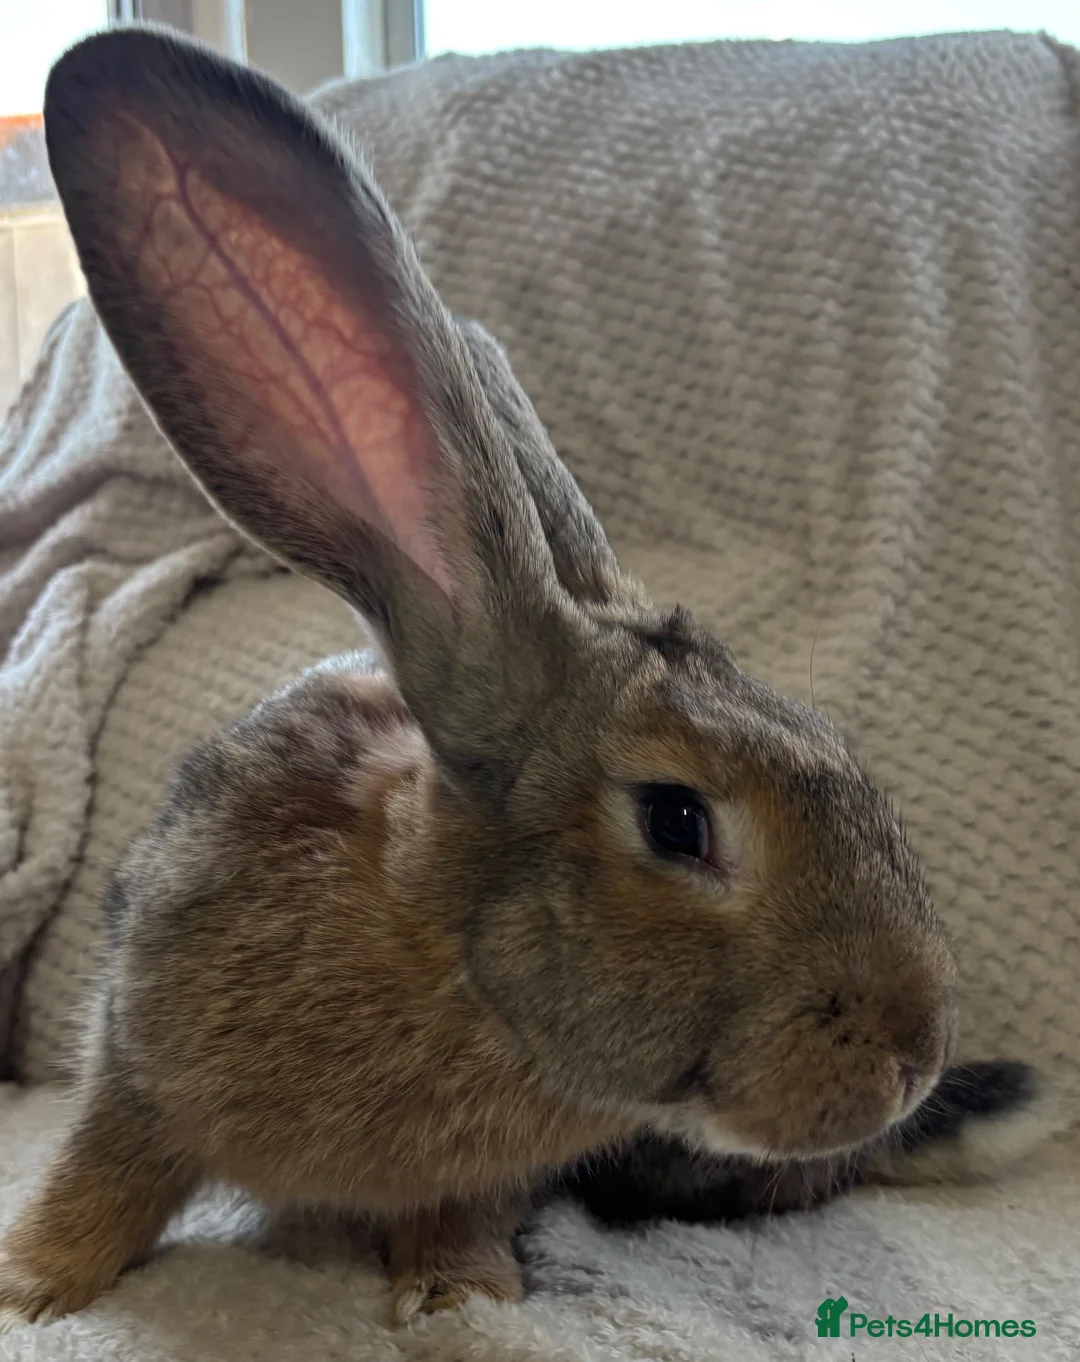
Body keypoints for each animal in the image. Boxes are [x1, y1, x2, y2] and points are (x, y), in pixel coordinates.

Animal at [0, 24, 983, 1328]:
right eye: (678, 822)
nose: (913, 1054)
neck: (443, 947)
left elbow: (452, 1215)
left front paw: (459, 1297)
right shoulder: (134, 1059)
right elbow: (105, 1169)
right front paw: (32, 1284)